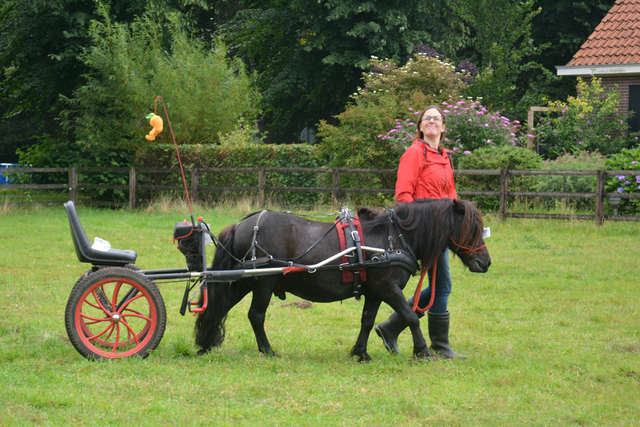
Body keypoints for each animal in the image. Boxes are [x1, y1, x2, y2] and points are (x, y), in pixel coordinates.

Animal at [195, 199, 490, 362]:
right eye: (472, 229)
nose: (485, 262)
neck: (393, 238)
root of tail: (242, 224)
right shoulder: (388, 288)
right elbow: (411, 316)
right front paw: (423, 352)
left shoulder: (374, 292)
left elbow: (368, 321)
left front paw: (361, 352)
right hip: (263, 284)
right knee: (256, 316)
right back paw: (267, 350)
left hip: (244, 282)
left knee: (219, 308)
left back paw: (205, 343)